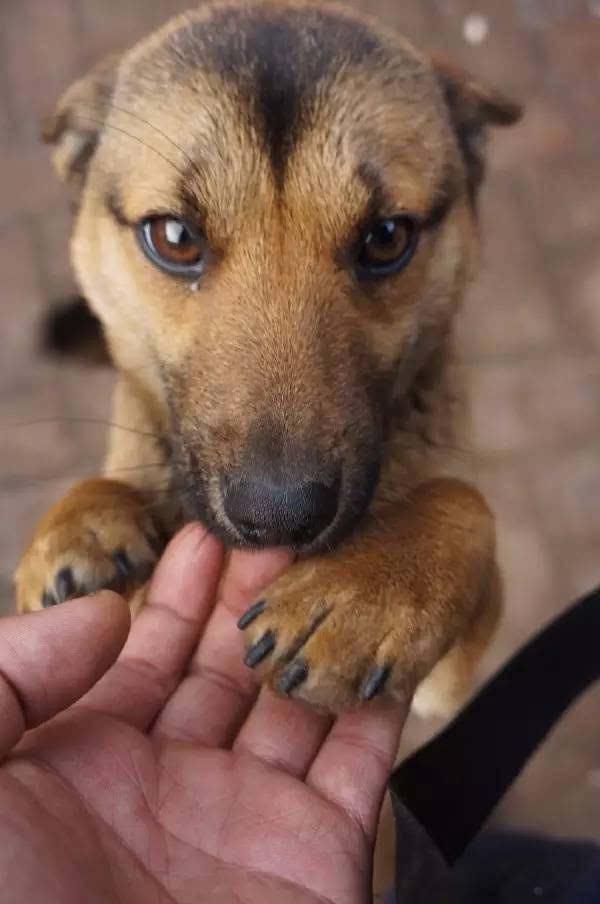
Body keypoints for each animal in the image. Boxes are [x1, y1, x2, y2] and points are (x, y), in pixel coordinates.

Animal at [14, 3, 520, 716]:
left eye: (386, 237)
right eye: (174, 237)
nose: (280, 517)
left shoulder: (448, 689)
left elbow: (465, 503)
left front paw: (369, 589)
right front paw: (78, 520)